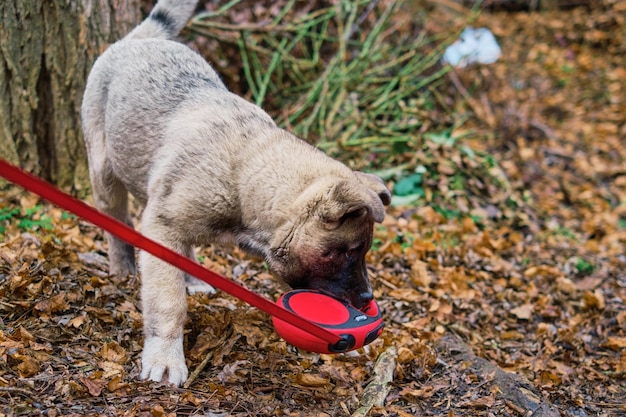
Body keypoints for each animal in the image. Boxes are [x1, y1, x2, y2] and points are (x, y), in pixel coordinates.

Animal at [80, 0, 388, 386]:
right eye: (346, 252)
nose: (366, 299)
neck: (246, 171)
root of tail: (139, 40)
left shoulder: (170, 220)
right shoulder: (162, 225)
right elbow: (167, 301)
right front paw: (165, 357)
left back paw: (192, 277)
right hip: (104, 171)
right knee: (116, 220)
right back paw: (122, 267)